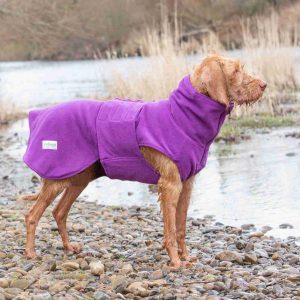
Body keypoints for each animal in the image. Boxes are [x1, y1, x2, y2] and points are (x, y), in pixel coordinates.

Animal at [21, 54, 266, 270]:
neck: (182, 117)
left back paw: (68, 247)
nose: (264, 85)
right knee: (32, 215)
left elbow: (181, 227)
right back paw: (31, 252)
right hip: (58, 177)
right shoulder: (170, 185)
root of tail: (39, 114)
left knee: (59, 212)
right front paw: (176, 262)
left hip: (79, 178)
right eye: (236, 71)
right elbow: (170, 230)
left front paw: (186, 257)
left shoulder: (186, 185)